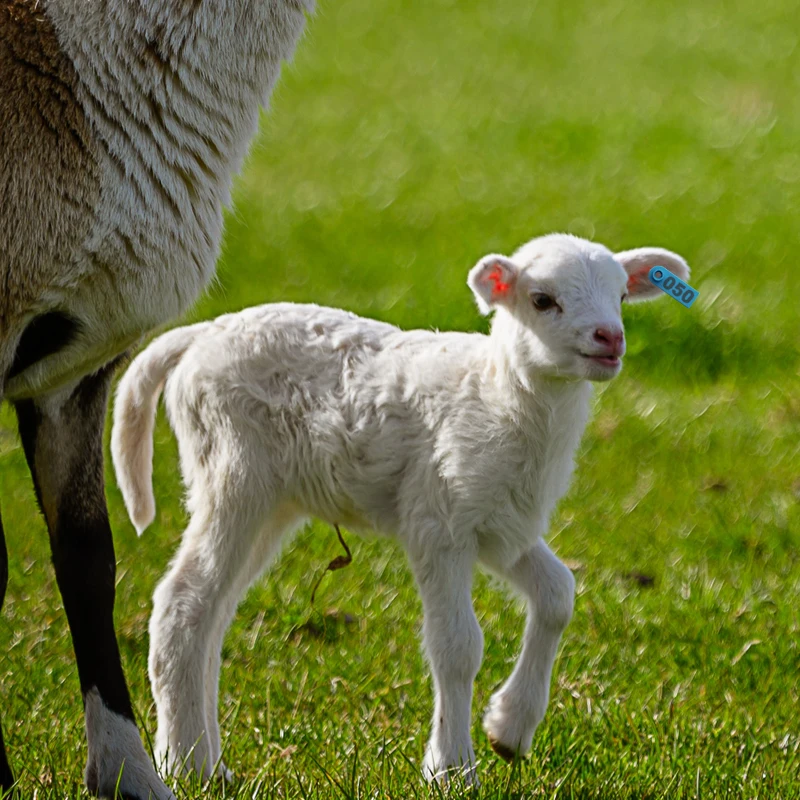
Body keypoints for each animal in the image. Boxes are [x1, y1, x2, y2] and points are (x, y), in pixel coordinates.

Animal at [111, 233, 691, 783]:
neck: (499, 398)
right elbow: (457, 646)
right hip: (232, 472)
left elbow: (558, 595)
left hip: (271, 500)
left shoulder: (501, 524)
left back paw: (208, 762)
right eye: (542, 300)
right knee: (182, 602)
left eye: (621, 295)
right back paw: (185, 764)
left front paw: (509, 730)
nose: (610, 339)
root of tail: (198, 335)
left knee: (213, 614)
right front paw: (451, 767)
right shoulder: (438, 519)